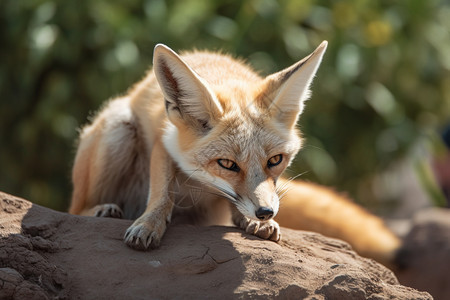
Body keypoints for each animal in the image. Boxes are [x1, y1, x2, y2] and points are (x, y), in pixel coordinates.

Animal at [70, 41, 400, 266]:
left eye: (275, 161)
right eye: (227, 164)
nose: (266, 212)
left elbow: (234, 202)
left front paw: (253, 222)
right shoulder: (165, 143)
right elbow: (162, 194)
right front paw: (149, 225)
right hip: (119, 127)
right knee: (75, 208)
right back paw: (102, 209)